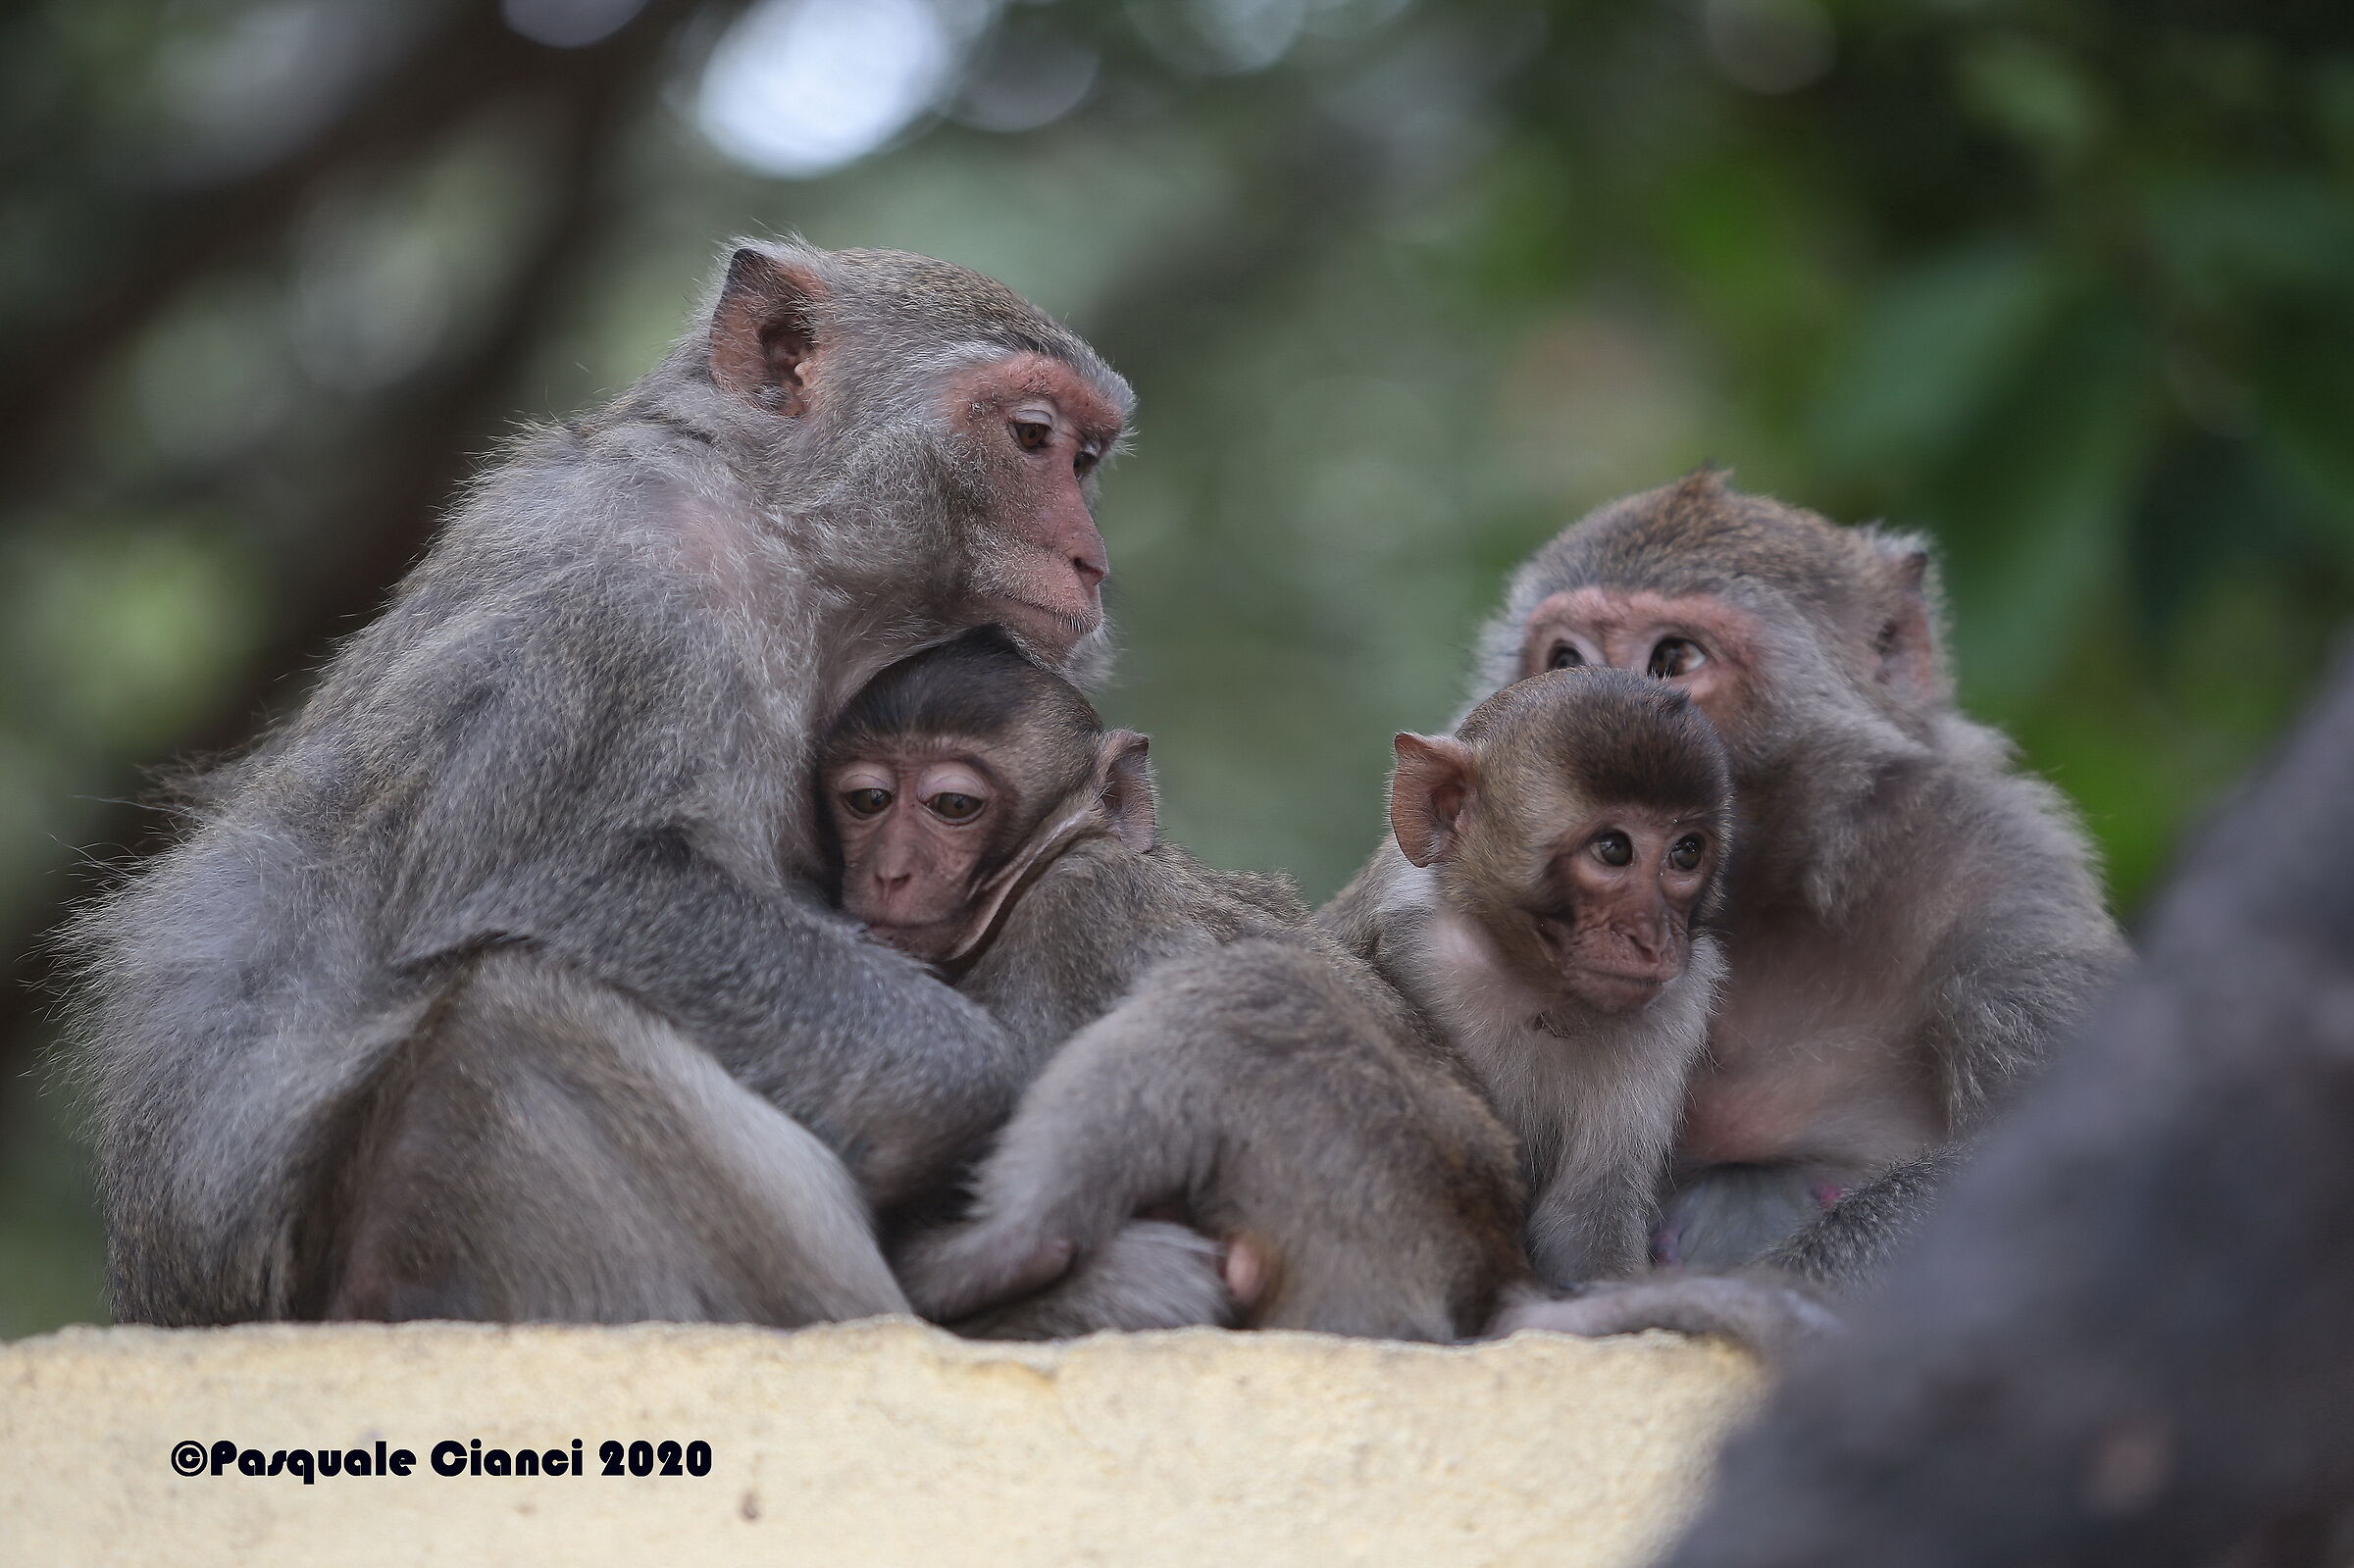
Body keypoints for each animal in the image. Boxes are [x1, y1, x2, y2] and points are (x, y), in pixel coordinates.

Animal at [66, 240, 1140, 1326]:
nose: (1091, 561)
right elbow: (550, 878)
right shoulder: (620, 609)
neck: (778, 534)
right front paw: (960, 1088)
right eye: (1032, 437)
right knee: (525, 1005)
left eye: (1088, 460)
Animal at [826, 631, 1530, 1341]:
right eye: (868, 800)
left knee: (1244, 992)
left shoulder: (1075, 908)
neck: (1050, 855)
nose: (889, 871)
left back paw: (998, 1252)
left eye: (953, 805)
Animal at [1321, 666, 1735, 1294]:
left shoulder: (1677, 1003)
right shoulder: (1417, 945)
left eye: (1686, 853)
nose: (1653, 938)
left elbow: (1582, 1222)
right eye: (1613, 848)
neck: (1537, 987)